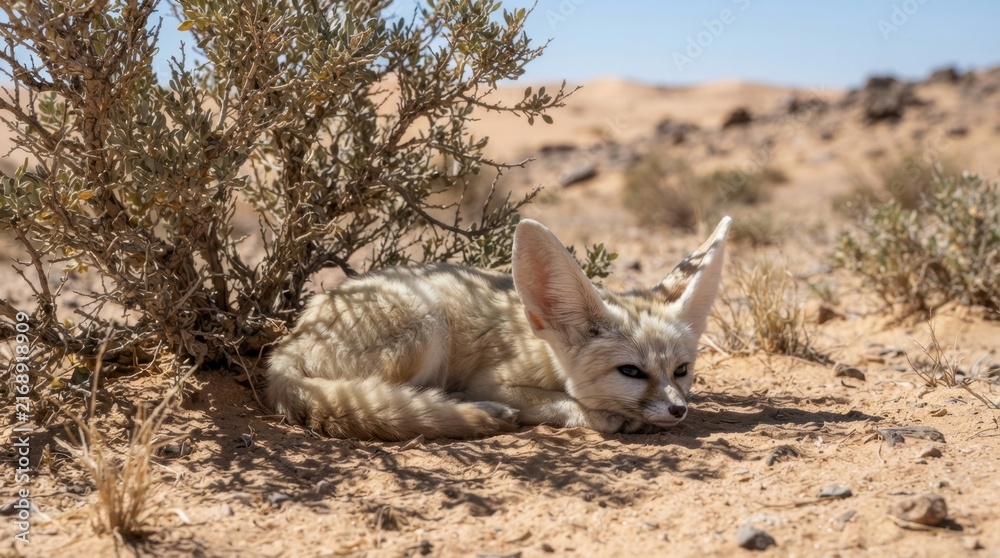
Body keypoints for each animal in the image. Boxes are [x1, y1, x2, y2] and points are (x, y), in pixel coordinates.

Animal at [265, 216, 731, 441]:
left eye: (681, 371)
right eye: (631, 371)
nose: (678, 410)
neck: (542, 346)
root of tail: (288, 344)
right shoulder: (491, 381)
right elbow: (564, 403)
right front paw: (603, 415)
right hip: (427, 326)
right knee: (377, 396)